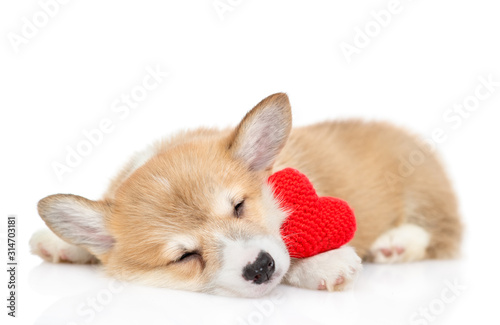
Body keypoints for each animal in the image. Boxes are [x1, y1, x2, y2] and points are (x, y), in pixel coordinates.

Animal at [30, 93, 460, 296]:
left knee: (443, 236)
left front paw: (322, 262)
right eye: (185, 256)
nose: (260, 268)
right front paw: (62, 242)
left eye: (239, 206)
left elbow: (290, 244)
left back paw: (395, 244)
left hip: (424, 194)